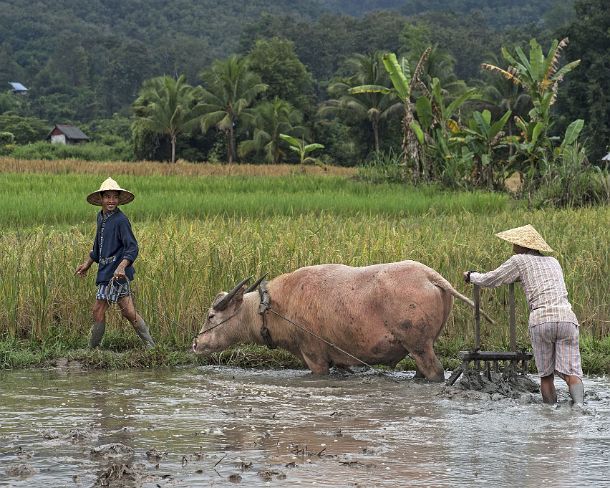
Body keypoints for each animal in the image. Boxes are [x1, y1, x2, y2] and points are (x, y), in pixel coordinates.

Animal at [192, 260, 486, 382]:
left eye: (210, 316)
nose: (195, 344)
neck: (275, 306)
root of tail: (430, 276)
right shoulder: (341, 359)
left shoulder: (314, 356)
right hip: (422, 346)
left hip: (420, 346)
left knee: (435, 372)